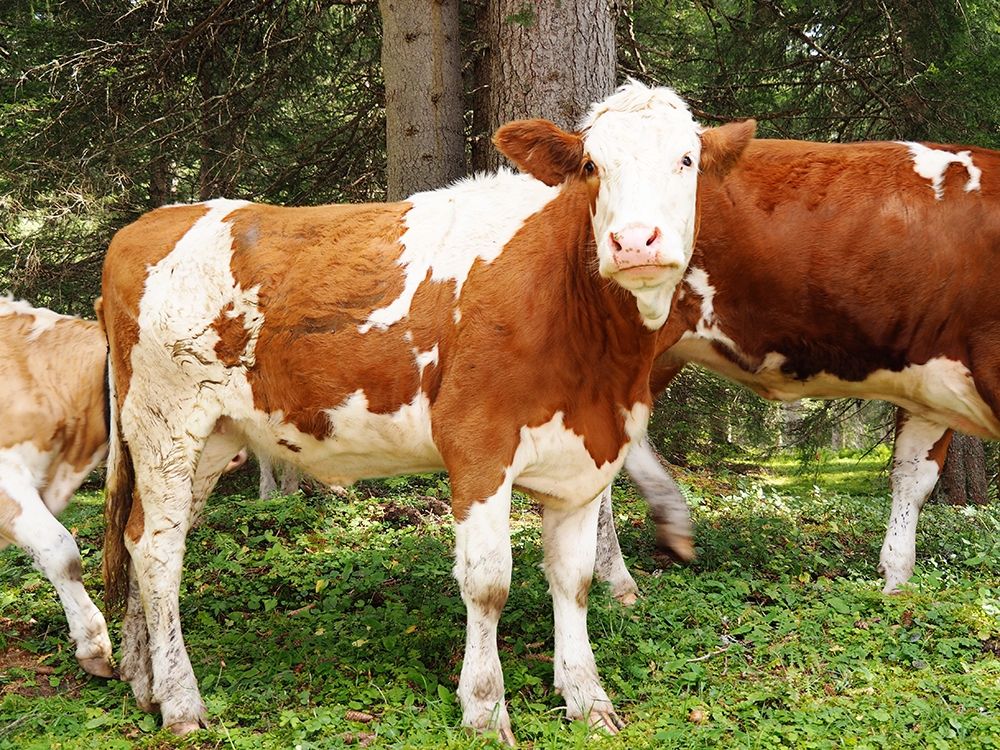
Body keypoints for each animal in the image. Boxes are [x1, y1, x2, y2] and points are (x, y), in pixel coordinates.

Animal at [99, 81, 754, 742]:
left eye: (687, 160)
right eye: (593, 166)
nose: (635, 241)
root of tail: (146, 225)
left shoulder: (585, 456)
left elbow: (575, 581)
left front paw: (588, 701)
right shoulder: (478, 445)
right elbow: (489, 583)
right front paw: (485, 709)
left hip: (208, 437)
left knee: (143, 536)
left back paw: (143, 680)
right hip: (165, 422)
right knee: (158, 551)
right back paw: (181, 703)